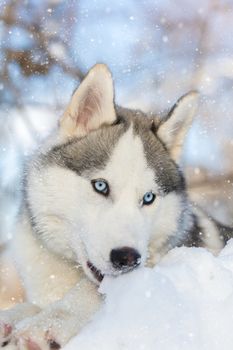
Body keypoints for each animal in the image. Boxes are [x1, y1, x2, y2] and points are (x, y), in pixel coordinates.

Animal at [0, 64, 231, 348]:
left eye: (148, 198)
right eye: (101, 186)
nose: (127, 258)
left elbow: (91, 291)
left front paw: (51, 322)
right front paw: (12, 318)